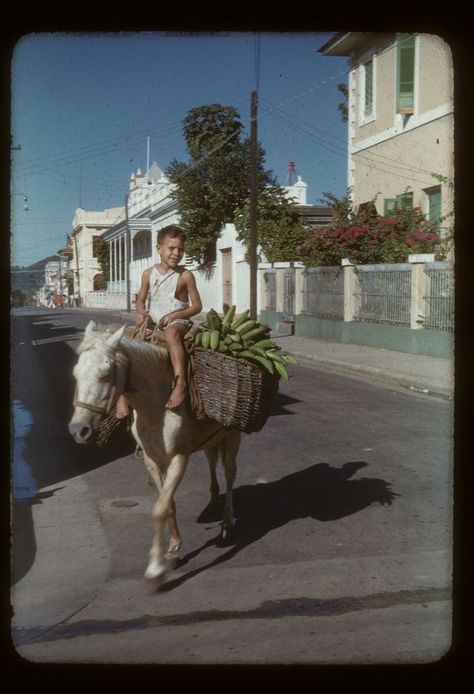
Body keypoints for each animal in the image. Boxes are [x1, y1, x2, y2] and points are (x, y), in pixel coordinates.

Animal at [68, 322, 241, 588]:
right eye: (76, 374)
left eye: (105, 375)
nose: (79, 430)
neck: (157, 405)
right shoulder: (152, 459)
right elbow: (168, 505)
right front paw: (173, 551)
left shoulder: (179, 458)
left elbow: (160, 508)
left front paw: (156, 569)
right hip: (211, 437)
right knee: (212, 460)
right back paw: (213, 503)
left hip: (232, 435)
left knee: (230, 474)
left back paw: (227, 523)